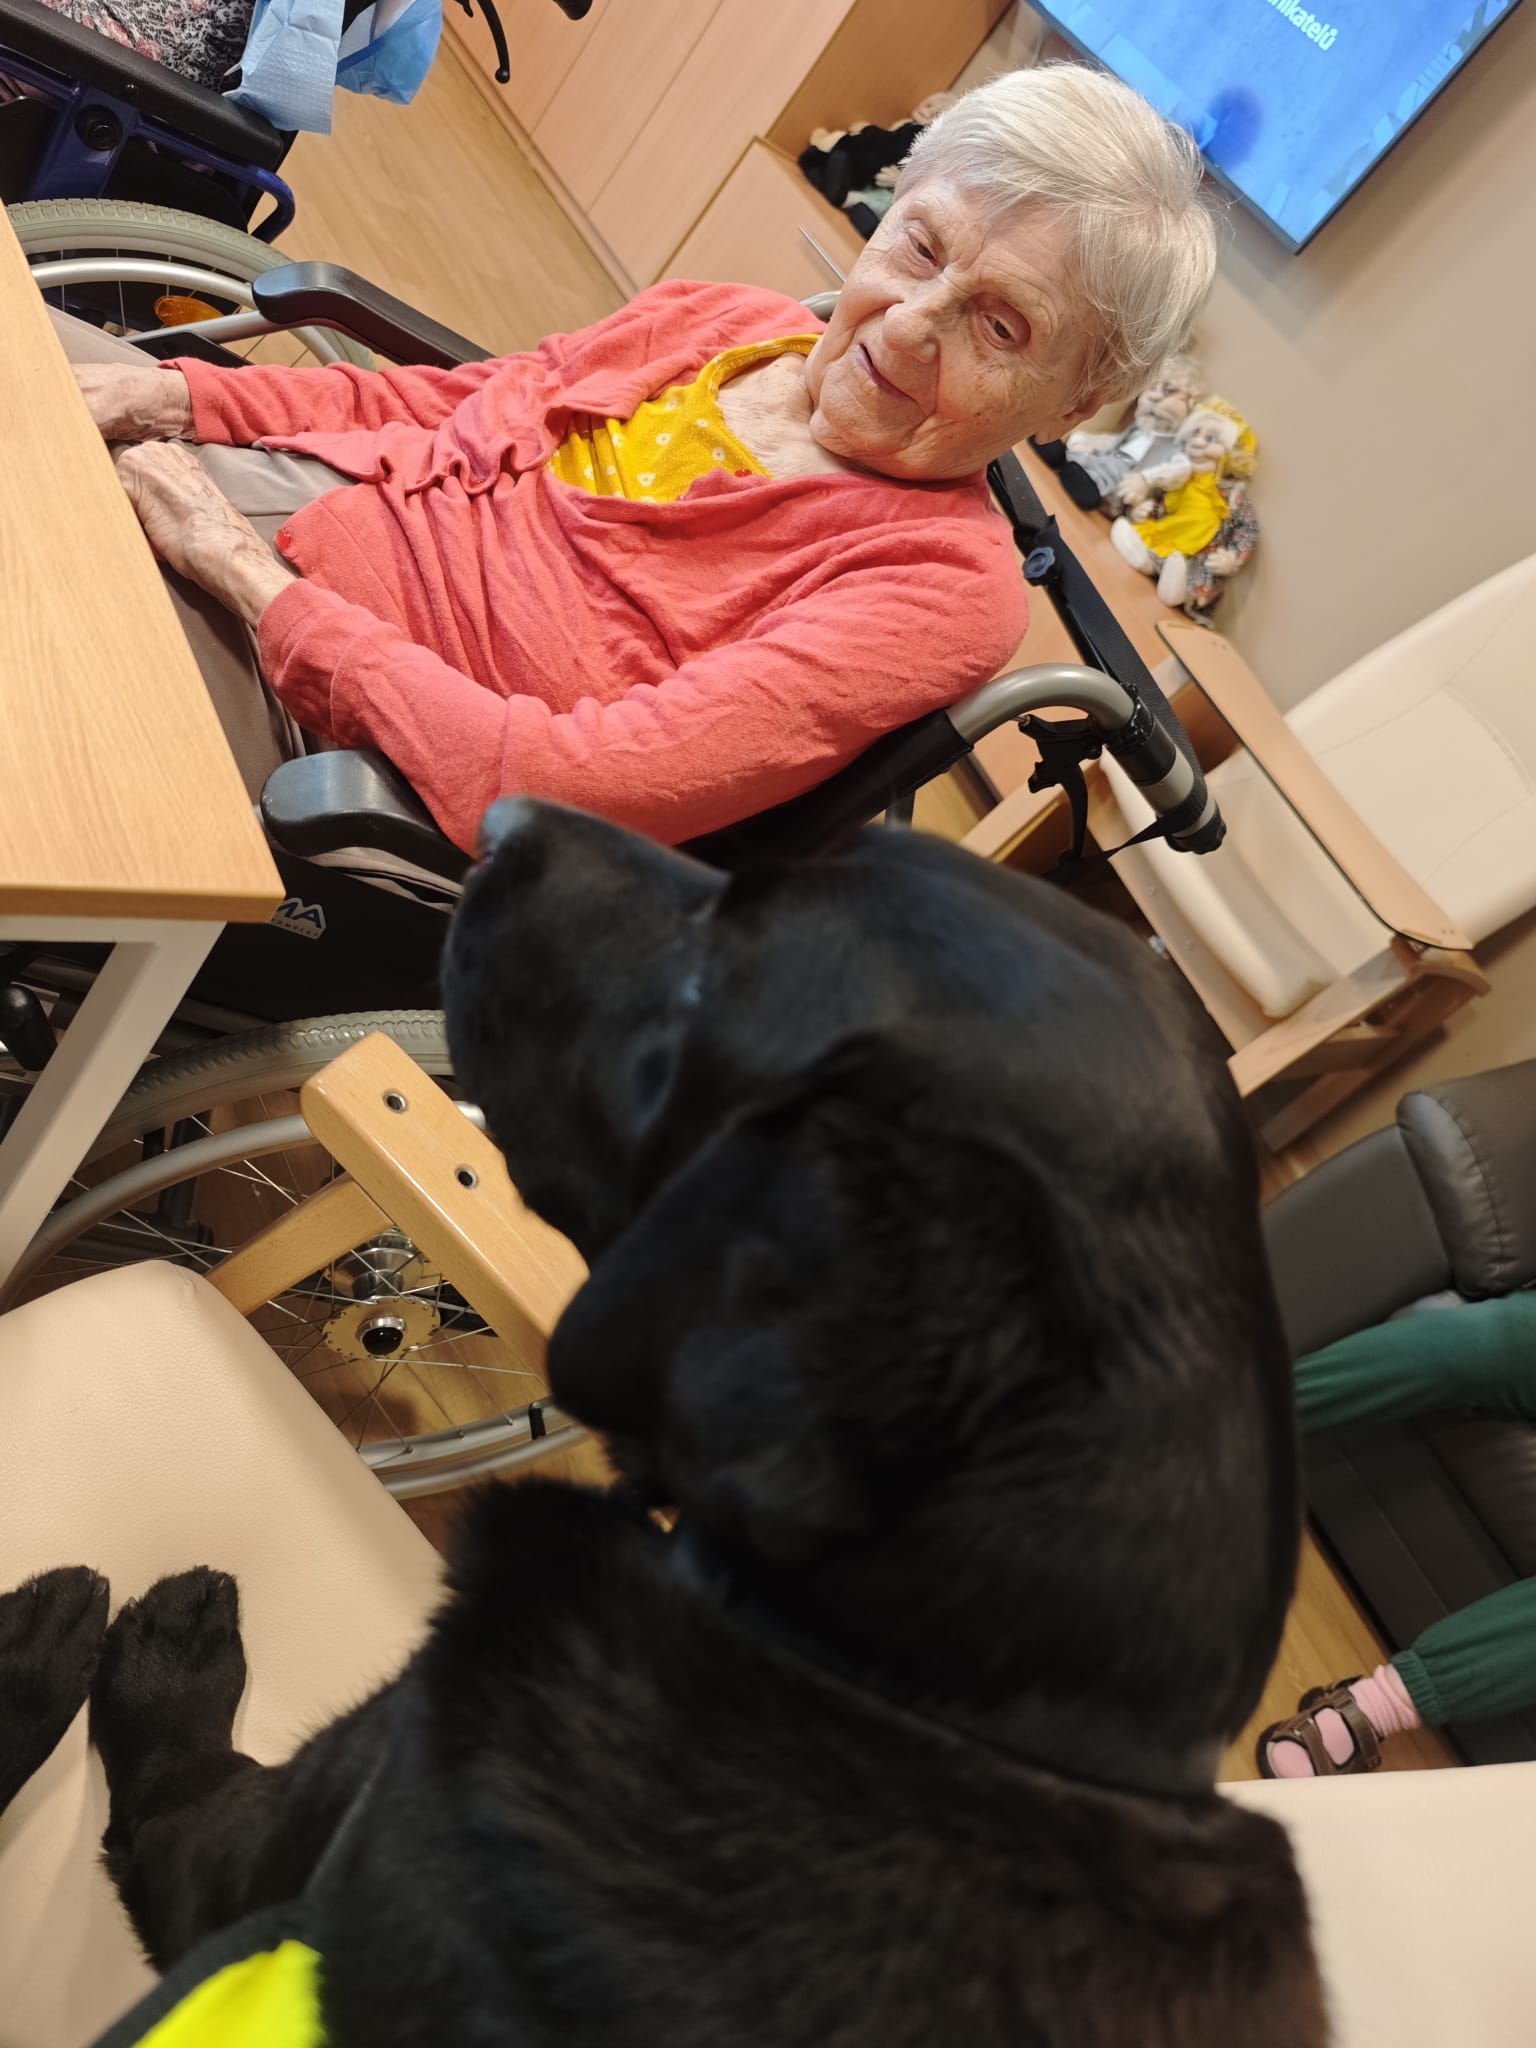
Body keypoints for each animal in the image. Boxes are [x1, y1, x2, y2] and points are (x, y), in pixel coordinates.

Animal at [8, 804, 1325, 2044]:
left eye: (711, 973)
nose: (500, 819)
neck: (915, 1698)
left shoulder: (219, 1847)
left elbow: (178, 1762)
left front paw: (164, 1645)